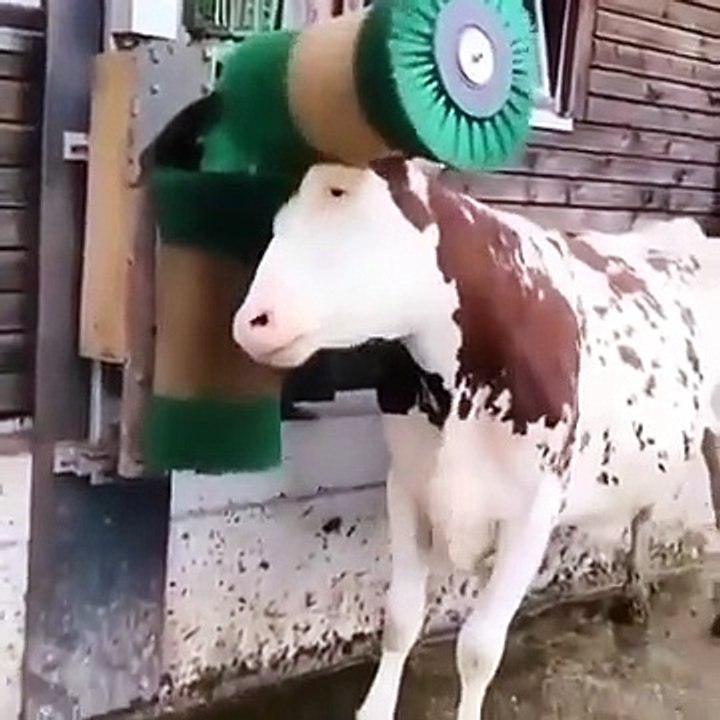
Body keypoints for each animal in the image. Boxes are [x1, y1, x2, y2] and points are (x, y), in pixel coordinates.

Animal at [231, 157, 720, 720]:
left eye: (350, 208)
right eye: (279, 223)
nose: (250, 322)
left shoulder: (533, 510)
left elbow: (480, 648)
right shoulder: (407, 484)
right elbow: (400, 617)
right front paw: (374, 708)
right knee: (644, 509)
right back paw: (635, 592)